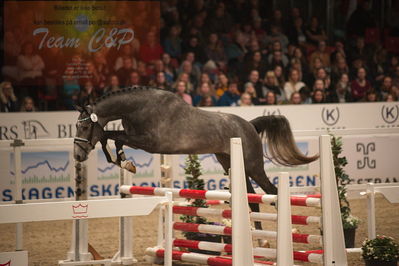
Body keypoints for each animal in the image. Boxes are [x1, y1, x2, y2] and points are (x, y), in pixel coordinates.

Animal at [74, 85, 318, 229]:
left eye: (84, 127)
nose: (78, 155)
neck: (139, 107)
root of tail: (249, 125)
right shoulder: (137, 138)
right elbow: (111, 137)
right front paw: (124, 162)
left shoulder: (149, 142)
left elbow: (111, 136)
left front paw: (124, 162)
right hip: (231, 163)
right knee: (252, 199)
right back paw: (259, 239)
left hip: (253, 166)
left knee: (271, 192)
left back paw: (288, 229)